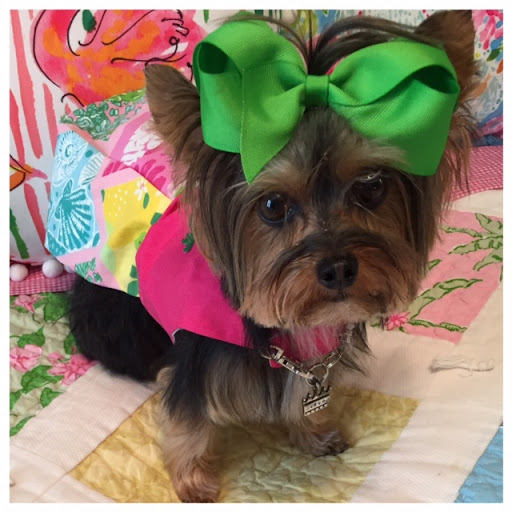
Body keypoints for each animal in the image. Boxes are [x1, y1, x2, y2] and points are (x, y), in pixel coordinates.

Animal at [68, 11, 478, 502]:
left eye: (372, 186)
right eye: (272, 205)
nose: (338, 268)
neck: (293, 333)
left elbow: (302, 400)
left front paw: (314, 433)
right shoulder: (193, 364)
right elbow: (187, 419)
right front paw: (193, 481)